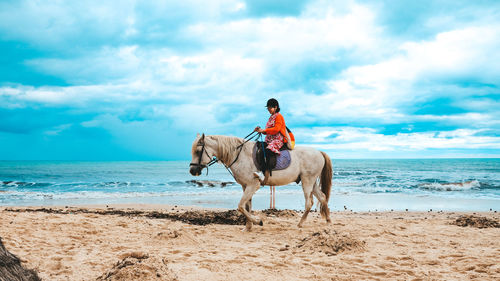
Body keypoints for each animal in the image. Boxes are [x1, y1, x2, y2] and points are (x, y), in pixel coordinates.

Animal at [189, 133, 334, 230]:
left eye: (198, 151)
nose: (192, 170)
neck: (240, 155)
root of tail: (319, 152)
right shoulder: (245, 186)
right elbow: (247, 206)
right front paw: (248, 227)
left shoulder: (253, 185)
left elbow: (241, 206)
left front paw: (257, 222)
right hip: (312, 182)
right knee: (322, 197)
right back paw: (328, 221)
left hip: (307, 181)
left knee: (309, 202)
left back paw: (300, 224)